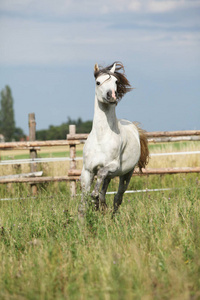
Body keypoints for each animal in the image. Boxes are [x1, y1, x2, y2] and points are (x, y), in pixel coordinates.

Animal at [79, 61, 148, 216]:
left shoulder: (113, 166)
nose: (112, 95)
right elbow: (84, 201)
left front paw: (95, 201)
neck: (101, 137)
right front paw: (84, 219)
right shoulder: (87, 171)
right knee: (105, 192)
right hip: (112, 176)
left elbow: (100, 176)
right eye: (98, 82)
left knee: (118, 197)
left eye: (116, 81)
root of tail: (134, 127)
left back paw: (113, 216)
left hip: (127, 173)